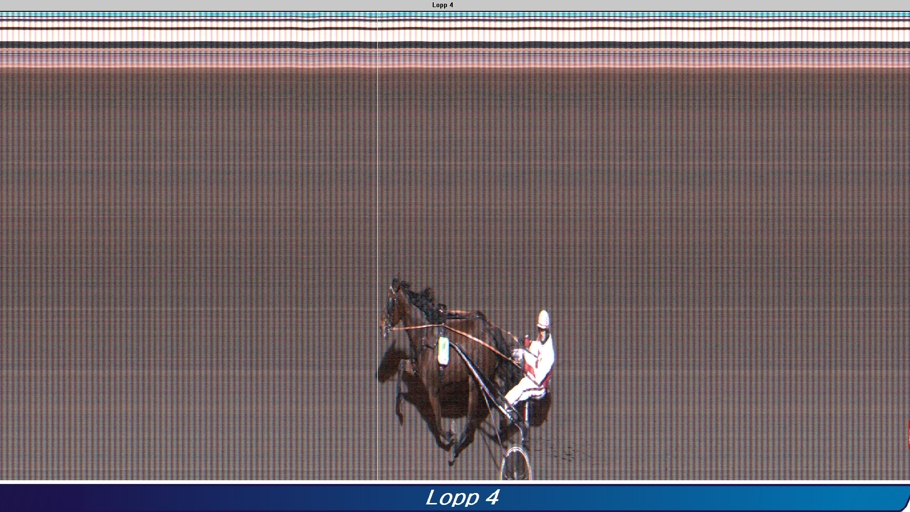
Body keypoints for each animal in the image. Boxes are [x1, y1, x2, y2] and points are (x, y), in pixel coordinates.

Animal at [380, 278, 521, 461]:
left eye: (390, 301)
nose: (382, 326)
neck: (426, 336)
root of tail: (489, 330)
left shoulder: (432, 387)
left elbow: (438, 421)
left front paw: (450, 435)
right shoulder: (416, 368)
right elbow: (402, 365)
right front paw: (399, 411)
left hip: (474, 381)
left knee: (471, 419)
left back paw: (459, 445)